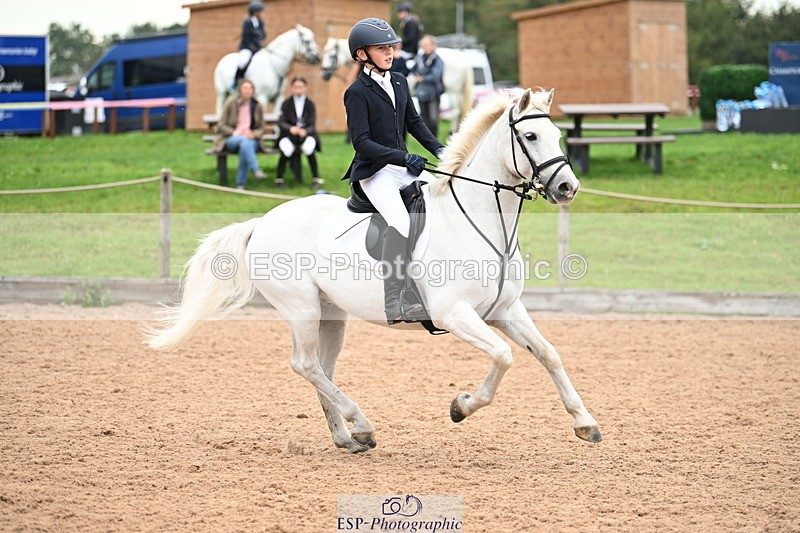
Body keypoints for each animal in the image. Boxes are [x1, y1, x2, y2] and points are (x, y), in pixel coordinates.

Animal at [145, 88, 602, 453]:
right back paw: (360, 424)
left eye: (558, 135)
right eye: (530, 136)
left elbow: (548, 353)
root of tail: (262, 222)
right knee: (305, 365)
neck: (480, 220)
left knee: (322, 369)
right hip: (301, 308)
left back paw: (347, 437)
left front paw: (585, 424)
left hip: (331, 313)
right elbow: (504, 356)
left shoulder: (506, 310)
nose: (568, 188)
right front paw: (461, 406)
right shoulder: (454, 313)